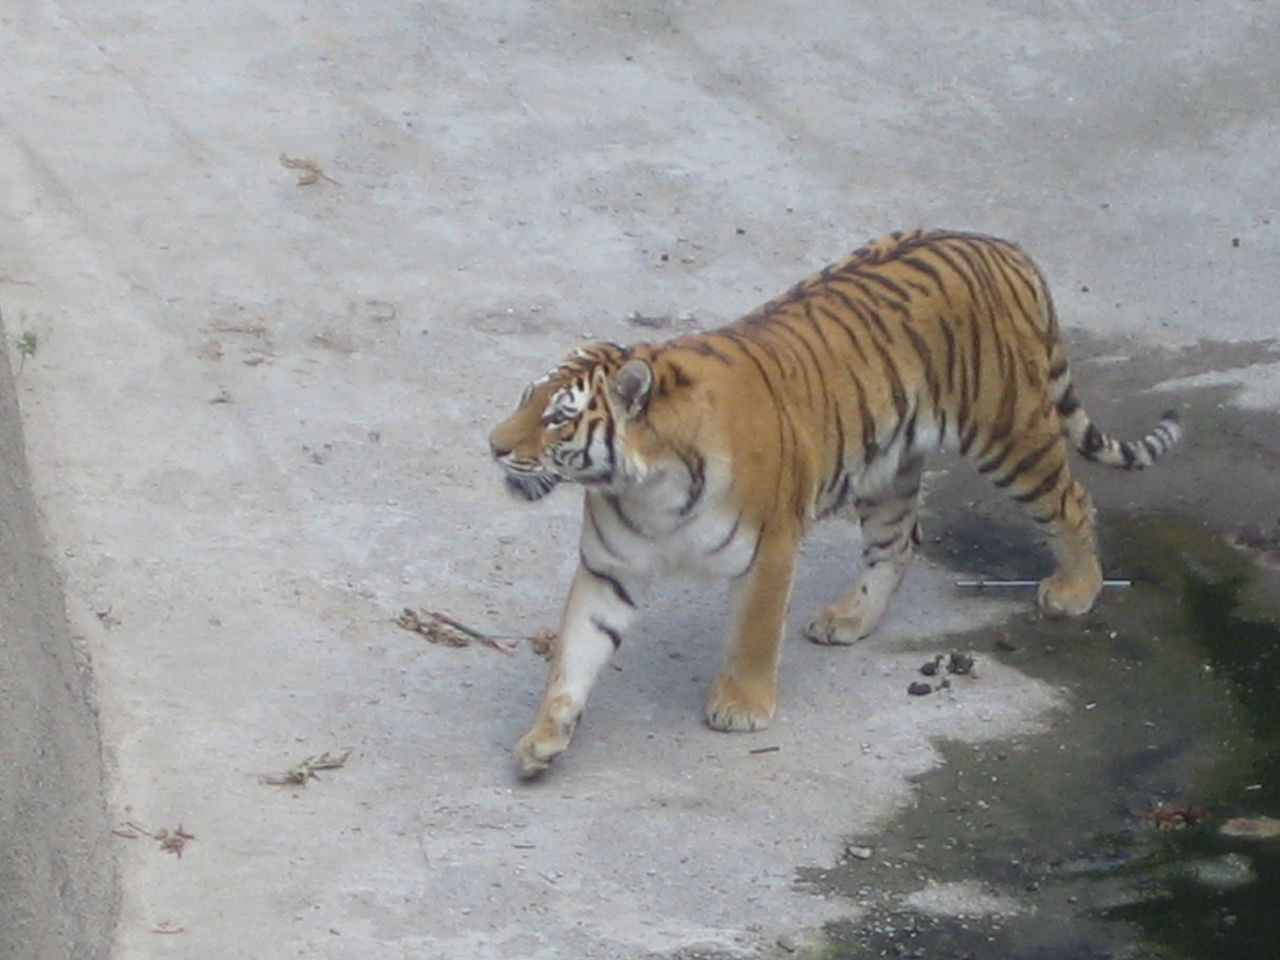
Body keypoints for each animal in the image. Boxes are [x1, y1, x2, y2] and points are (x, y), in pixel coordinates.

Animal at [488, 229, 1177, 778]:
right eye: (525, 399)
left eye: (557, 418)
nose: (493, 446)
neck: (645, 486)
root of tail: (1002, 246)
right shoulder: (611, 567)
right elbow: (575, 653)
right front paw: (544, 738)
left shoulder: (768, 549)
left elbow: (754, 634)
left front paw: (742, 707)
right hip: (888, 467)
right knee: (899, 541)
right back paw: (851, 617)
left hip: (1009, 433)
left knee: (1072, 499)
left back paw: (1076, 588)